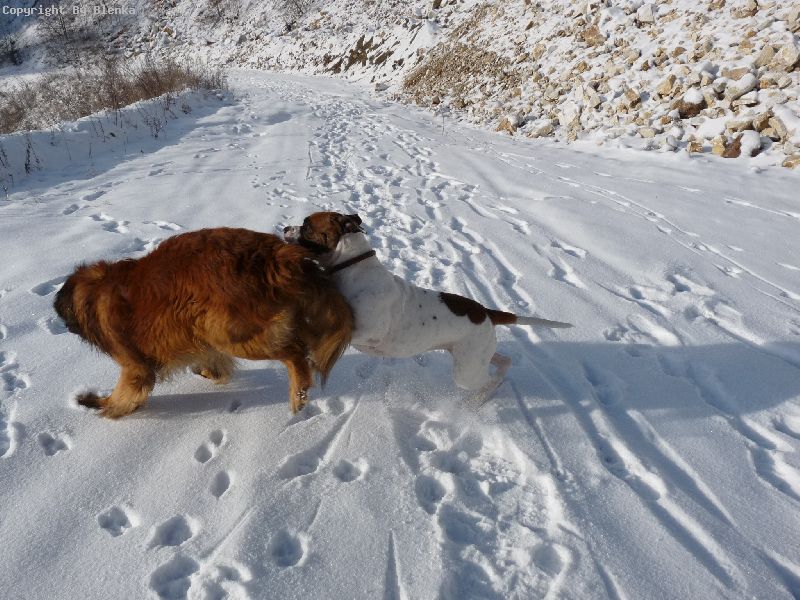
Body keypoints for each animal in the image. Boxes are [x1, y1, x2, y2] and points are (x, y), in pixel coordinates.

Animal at [54, 227, 353, 418]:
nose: (65, 325)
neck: (95, 291)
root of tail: (277, 255)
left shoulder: (134, 365)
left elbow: (124, 392)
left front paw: (103, 407)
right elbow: (211, 363)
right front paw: (209, 371)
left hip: (232, 333)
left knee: (294, 353)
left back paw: (298, 392)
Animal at [284, 212, 572, 399]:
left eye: (306, 226)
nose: (286, 228)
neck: (352, 267)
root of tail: (486, 312)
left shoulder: (367, 331)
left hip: (467, 372)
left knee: (490, 382)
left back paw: (481, 400)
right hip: (473, 356)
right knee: (503, 361)